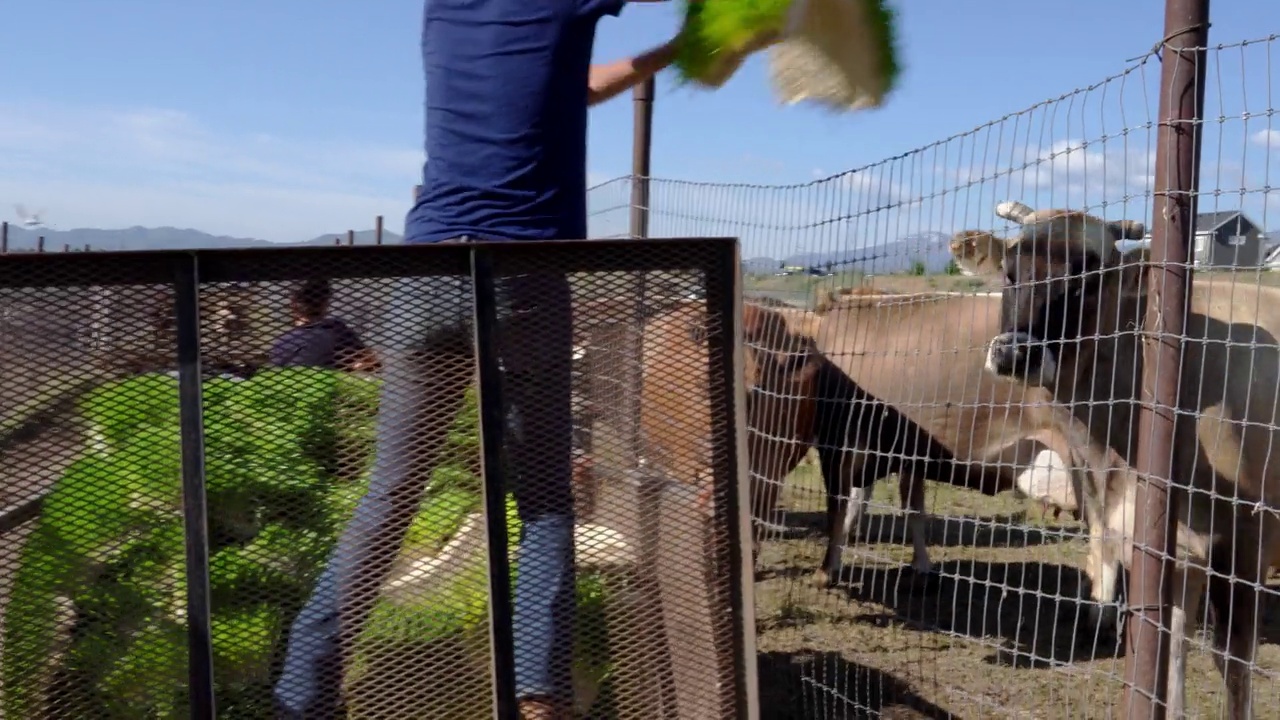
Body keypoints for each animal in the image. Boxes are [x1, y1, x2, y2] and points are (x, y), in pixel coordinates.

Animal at [962, 198, 1280, 717]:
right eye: (1010, 271)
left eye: (1088, 277)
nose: (1015, 353)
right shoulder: (1167, 545)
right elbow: (1168, 648)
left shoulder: (1246, 542)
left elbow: (1233, 664)